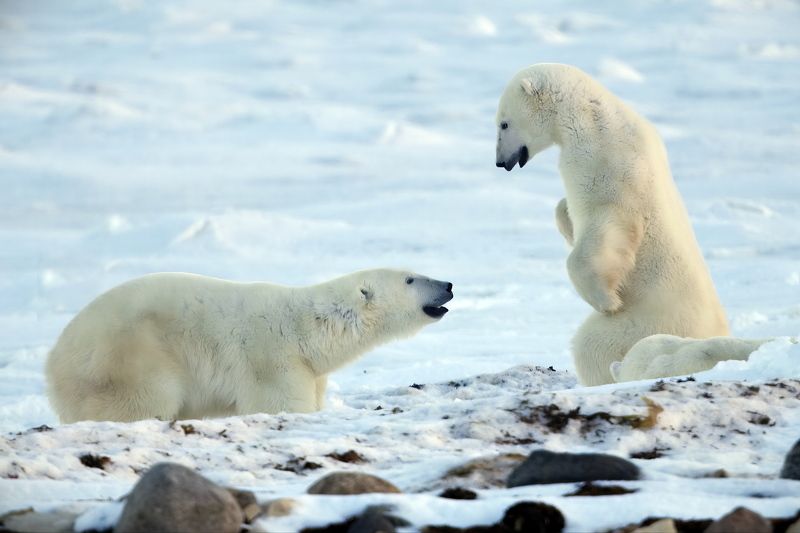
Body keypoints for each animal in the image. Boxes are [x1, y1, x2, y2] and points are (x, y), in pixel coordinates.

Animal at [47, 268, 454, 422]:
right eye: (410, 279)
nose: (448, 284)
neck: (305, 329)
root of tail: (54, 361)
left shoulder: (312, 372)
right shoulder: (273, 360)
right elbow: (280, 404)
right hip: (129, 359)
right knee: (143, 402)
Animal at [496, 64, 736, 384]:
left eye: (504, 124)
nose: (501, 162)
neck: (595, 120)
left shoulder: (612, 170)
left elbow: (608, 229)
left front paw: (607, 300)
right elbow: (565, 210)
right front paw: (567, 223)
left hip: (647, 323)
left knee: (590, 344)